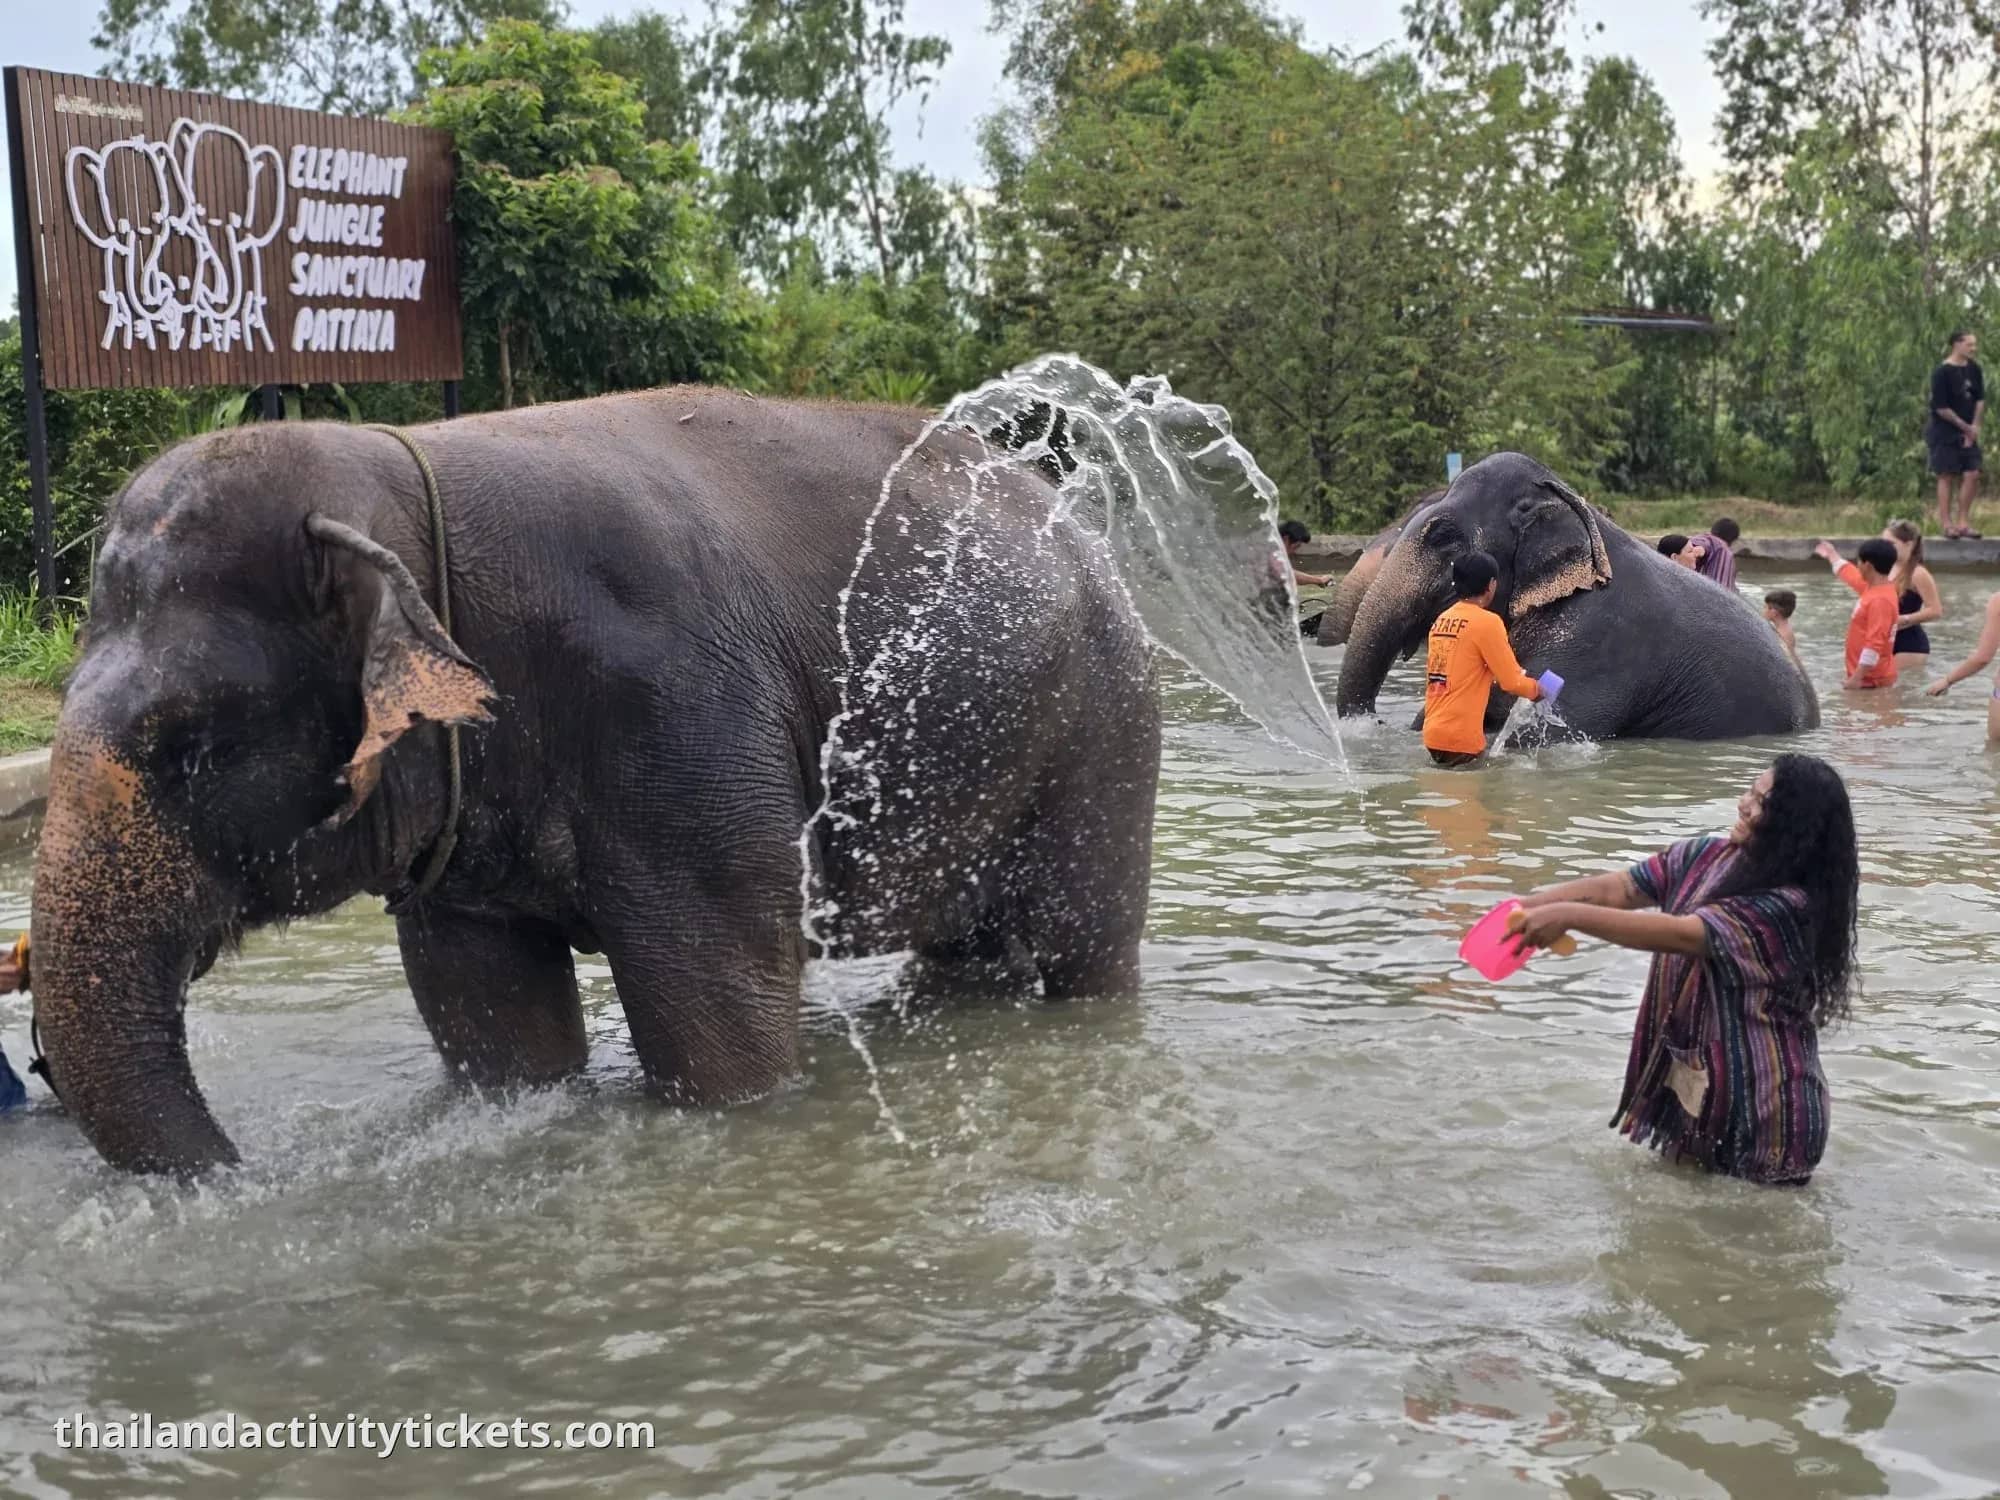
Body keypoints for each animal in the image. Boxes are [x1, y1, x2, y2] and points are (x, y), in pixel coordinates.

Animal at [32, 389, 1162, 1175]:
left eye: (188, 746)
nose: (240, 1171)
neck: (404, 495)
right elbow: (491, 1016)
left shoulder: (685, 726)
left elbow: (720, 1026)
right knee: (962, 952)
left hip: (1108, 725)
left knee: (1084, 944)